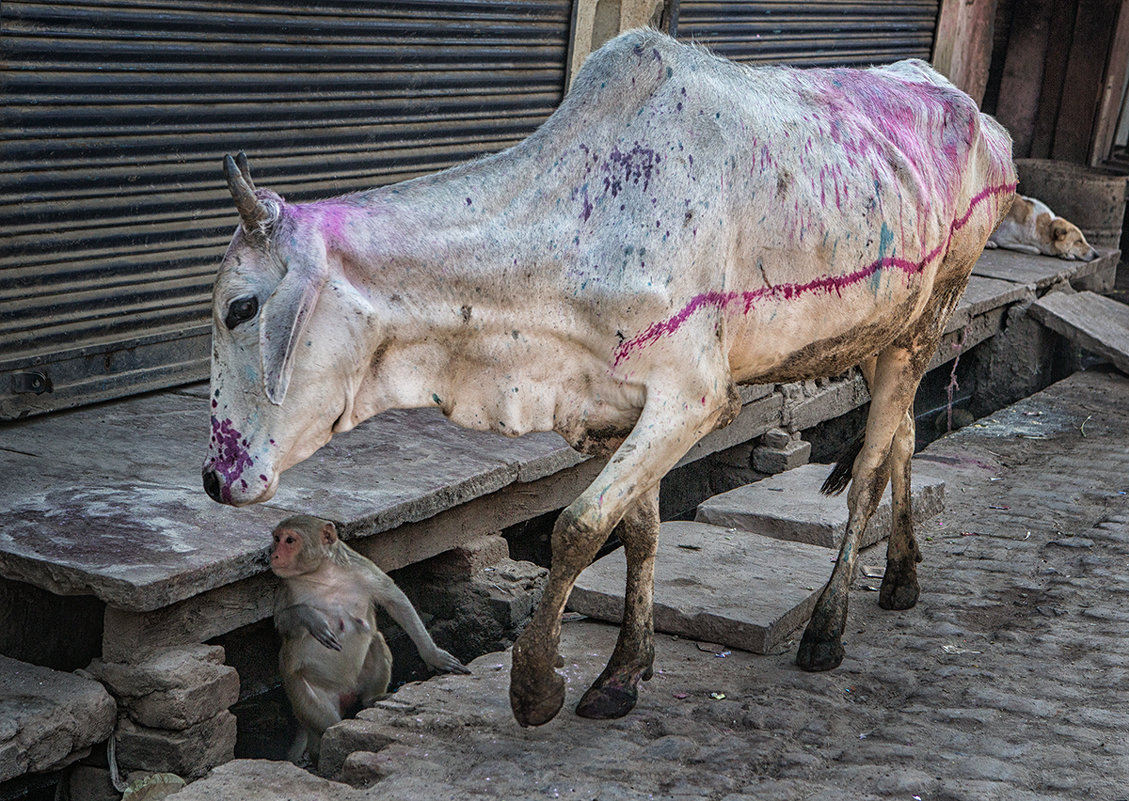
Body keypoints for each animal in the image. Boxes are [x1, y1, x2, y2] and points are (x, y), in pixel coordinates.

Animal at [200, 29, 1016, 732]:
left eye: (241, 307)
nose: (213, 478)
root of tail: (983, 120)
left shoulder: (692, 399)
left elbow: (577, 527)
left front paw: (538, 684)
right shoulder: (607, 409)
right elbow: (639, 533)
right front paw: (624, 671)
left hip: (933, 310)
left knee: (870, 468)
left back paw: (826, 627)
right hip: (886, 332)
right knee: (902, 436)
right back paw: (901, 575)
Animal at [268, 515, 467, 759]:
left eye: (289, 540)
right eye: (277, 538)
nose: (273, 554)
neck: (323, 574)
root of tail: (346, 693)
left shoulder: (362, 569)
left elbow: (395, 600)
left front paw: (434, 656)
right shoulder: (286, 586)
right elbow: (282, 621)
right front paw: (312, 619)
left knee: (377, 642)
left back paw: (374, 699)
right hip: (307, 692)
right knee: (318, 711)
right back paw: (320, 745)